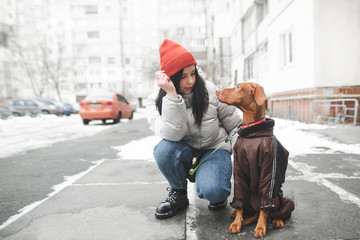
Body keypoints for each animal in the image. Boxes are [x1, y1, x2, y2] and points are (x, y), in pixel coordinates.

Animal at [215, 83, 294, 238]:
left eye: (238, 87)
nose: (217, 91)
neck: (251, 131)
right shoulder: (239, 168)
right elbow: (239, 198)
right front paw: (237, 223)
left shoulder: (269, 167)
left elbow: (265, 209)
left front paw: (260, 227)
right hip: (249, 195)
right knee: (251, 208)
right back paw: (237, 213)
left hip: (279, 198)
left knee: (272, 211)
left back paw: (277, 220)